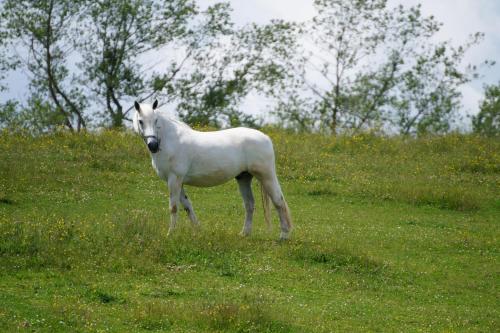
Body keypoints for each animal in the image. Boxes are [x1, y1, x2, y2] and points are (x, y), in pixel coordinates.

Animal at [132, 98, 292, 239]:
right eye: (141, 121)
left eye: (156, 120)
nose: (153, 145)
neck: (171, 140)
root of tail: (266, 137)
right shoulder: (178, 182)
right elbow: (187, 206)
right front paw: (198, 230)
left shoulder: (174, 179)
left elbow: (174, 207)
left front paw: (170, 234)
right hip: (243, 177)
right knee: (249, 204)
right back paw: (244, 233)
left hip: (266, 176)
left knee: (279, 201)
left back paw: (283, 235)